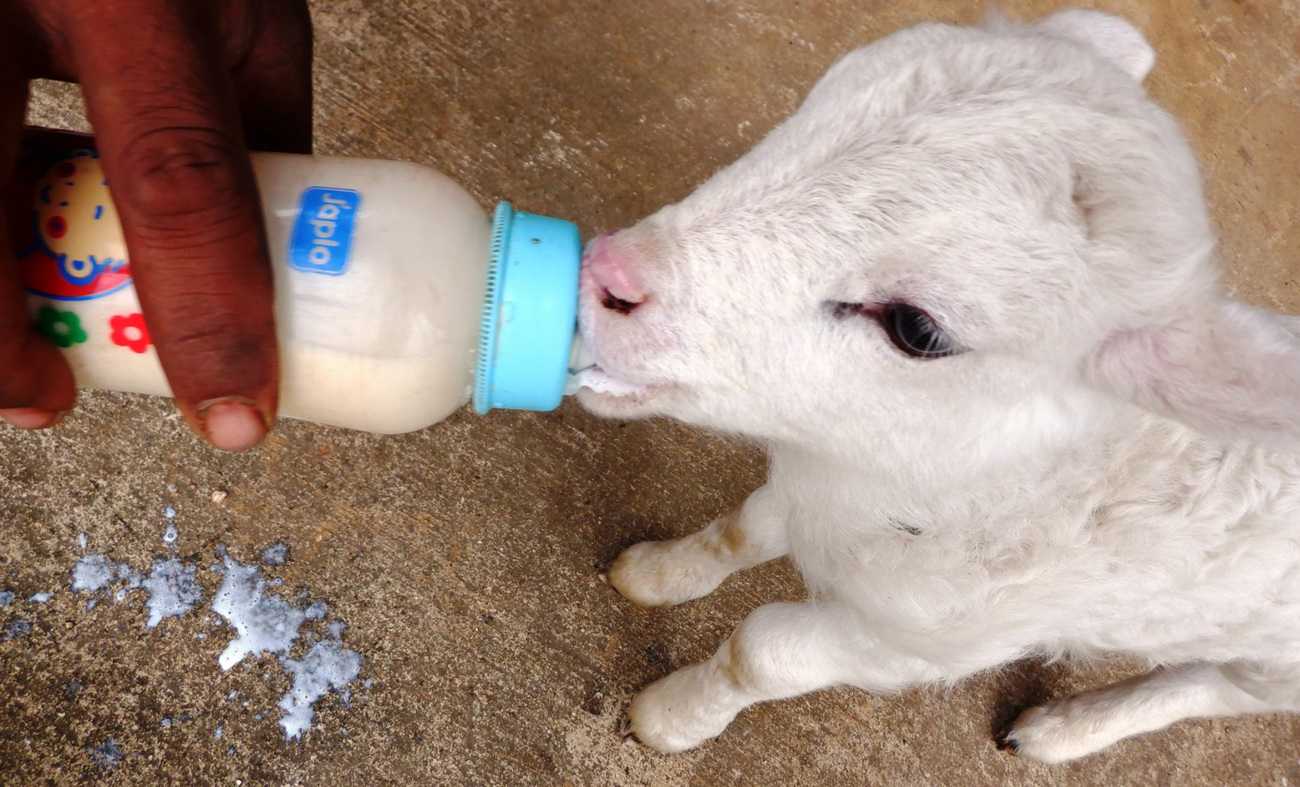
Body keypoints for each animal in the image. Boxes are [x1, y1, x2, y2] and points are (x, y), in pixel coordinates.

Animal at [574, 10, 1300, 759]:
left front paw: (669, 717)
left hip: (1269, 667)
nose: (605, 272)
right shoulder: (842, 466)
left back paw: (1066, 729)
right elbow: (745, 529)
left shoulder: (929, 641)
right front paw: (656, 574)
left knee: (1216, 688)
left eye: (918, 329)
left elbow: (765, 652)